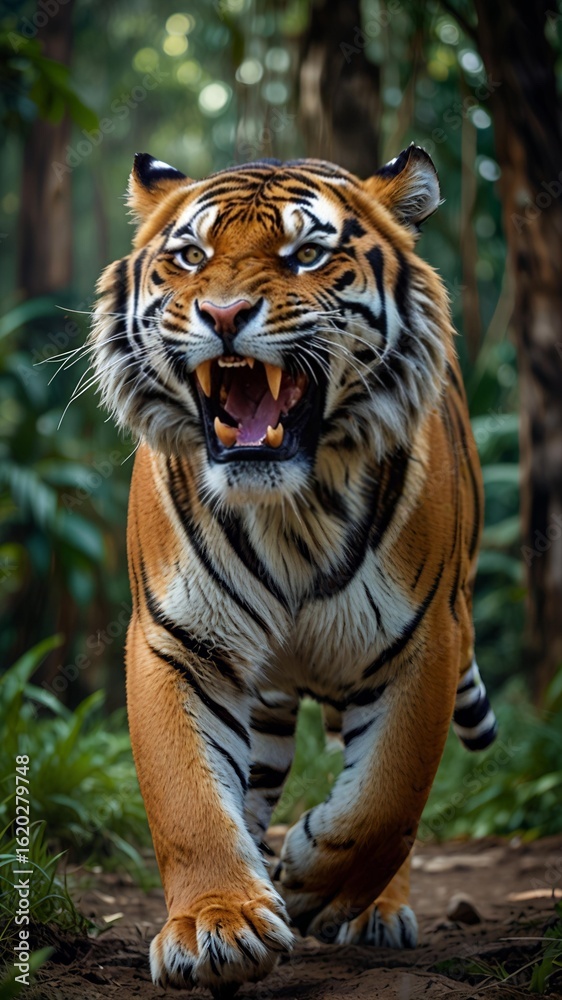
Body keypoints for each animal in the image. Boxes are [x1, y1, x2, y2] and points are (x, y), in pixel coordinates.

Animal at [91, 145, 497, 997]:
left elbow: (388, 797)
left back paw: (374, 911)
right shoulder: (179, 643)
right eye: (191, 257)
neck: (290, 512)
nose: (223, 315)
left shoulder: (422, 640)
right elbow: (190, 801)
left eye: (306, 254)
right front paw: (220, 924)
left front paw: (313, 882)